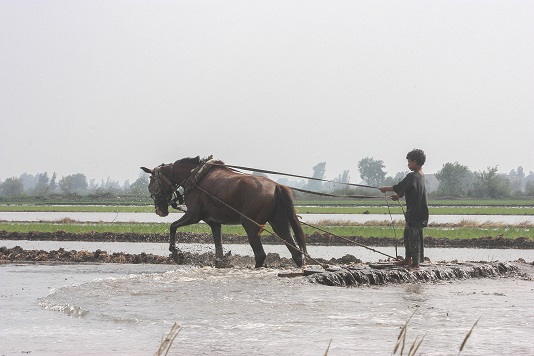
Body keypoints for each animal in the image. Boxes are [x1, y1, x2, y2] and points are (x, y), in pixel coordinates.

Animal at [141, 156, 310, 268]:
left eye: (151, 183)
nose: (159, 210)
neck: (195, 177)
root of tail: (276, 186)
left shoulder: (193, 215)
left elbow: (173, 226)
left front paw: (175, 252)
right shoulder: (214, 222)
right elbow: (219, 250)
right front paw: (220, 262)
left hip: (249, 224)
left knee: (260, 255)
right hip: (278, 222)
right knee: (295, 252)